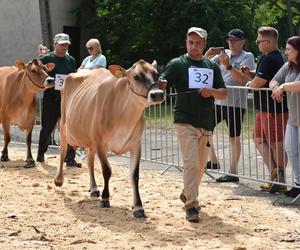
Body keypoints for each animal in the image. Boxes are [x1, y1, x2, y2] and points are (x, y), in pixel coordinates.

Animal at [54, 59, 166, 218]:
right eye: (136, 77)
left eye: (156, 74)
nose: (157, 94)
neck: (124, 118)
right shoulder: (101, 143)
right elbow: (107, 170)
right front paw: (105, 199)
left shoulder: (136, 144)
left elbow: (135, 175)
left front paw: (138, 207)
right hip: (64, 125)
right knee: (63, 150)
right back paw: (58, 179)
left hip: (91, 140)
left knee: (89, 161)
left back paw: (94, 188)